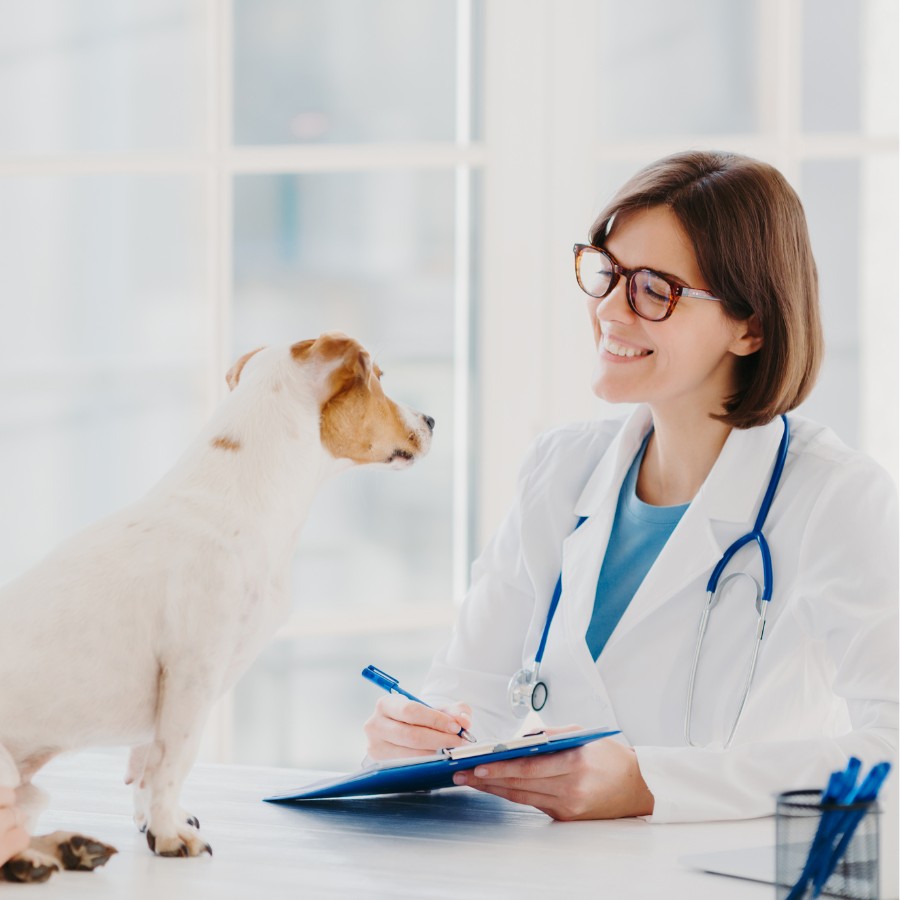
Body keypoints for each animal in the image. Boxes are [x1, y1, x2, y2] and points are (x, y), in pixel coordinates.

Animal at [0, 330, 436, 880]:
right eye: (379, 378)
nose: (432, 420)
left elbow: (145, 765)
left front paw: (152, 820)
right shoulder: (193, 671)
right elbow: (172, 761)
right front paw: (168, 833)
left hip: (32, 790)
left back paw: (66, 848)